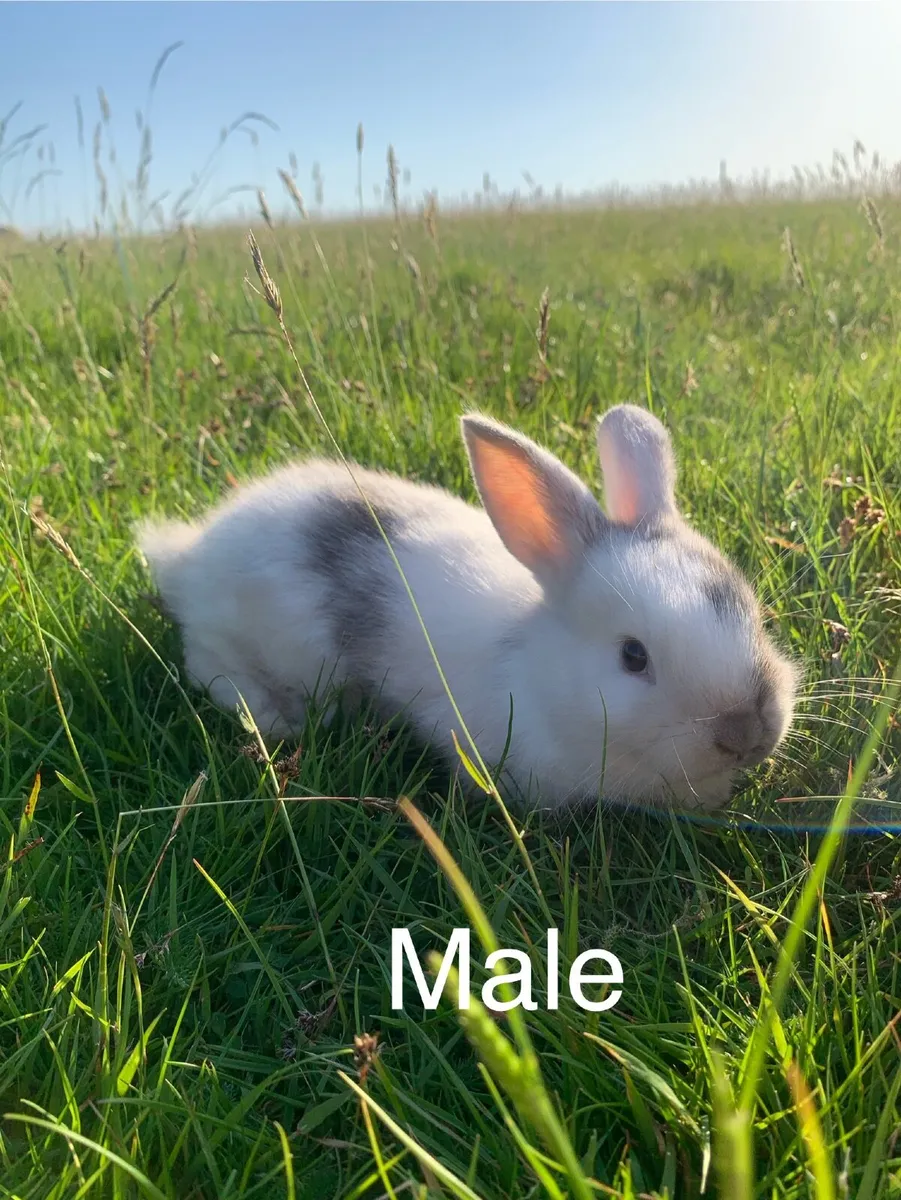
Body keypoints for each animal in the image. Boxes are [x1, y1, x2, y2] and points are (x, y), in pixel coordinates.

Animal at [136, 404, 798, 811]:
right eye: (633, 657)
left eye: (754, 615)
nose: (746, 733)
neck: (534, 664)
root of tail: (190, 556)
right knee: (208, 666)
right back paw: (279, 719)